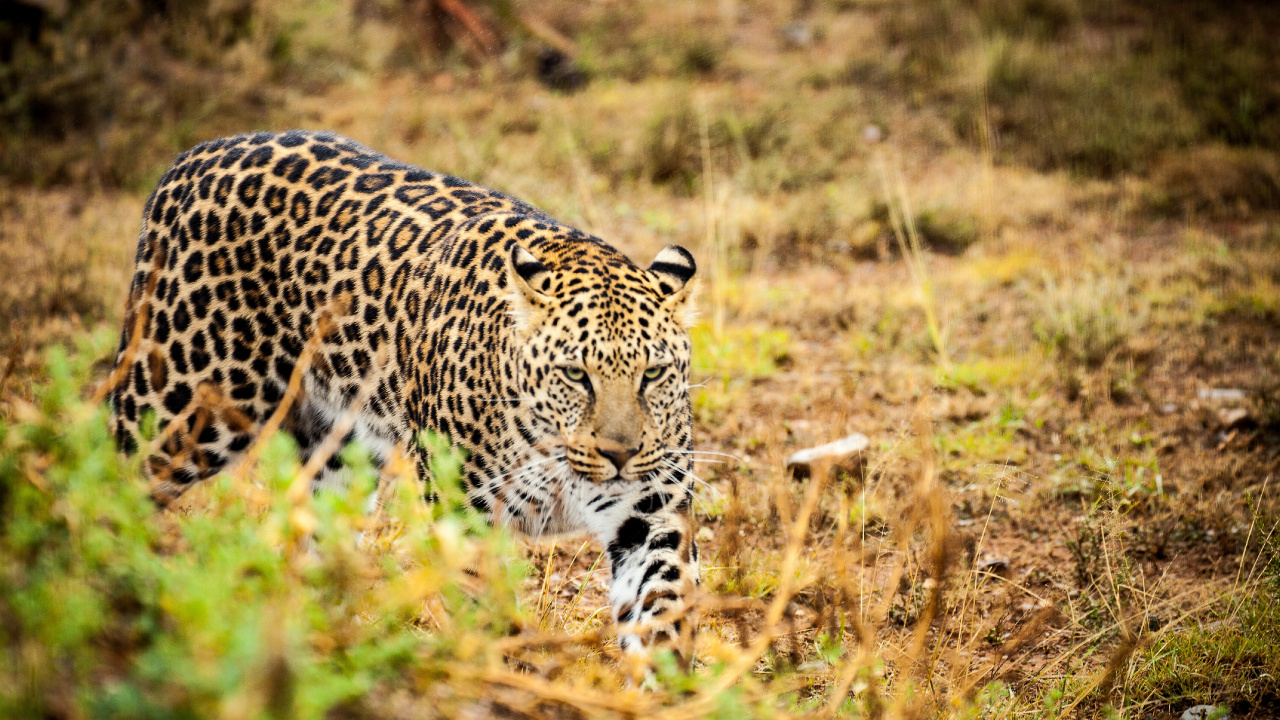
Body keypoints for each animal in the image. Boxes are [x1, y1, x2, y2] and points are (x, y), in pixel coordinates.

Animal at [108, 129, 702, 650]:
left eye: (653, 373)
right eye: (575, 374)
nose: (620, 454)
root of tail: (193, 156)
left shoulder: (651, 515)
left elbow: (662, 606)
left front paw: (666, 682)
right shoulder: (464, 511)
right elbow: (478, 605)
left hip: (338, 452)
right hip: (180, 402)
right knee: (115, 478)